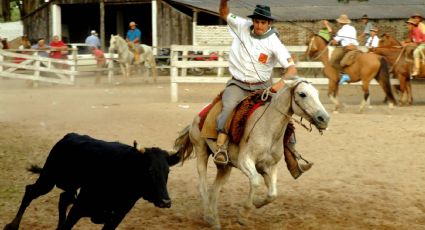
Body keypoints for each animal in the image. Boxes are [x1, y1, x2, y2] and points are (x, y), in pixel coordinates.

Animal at [172, 79, 328, 230]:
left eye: (317, 94)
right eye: (302, 94)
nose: (324, 118)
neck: (267, 128)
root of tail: (198, 117)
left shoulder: (270, 167)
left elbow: (272, 194)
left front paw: (257, 203)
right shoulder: (245, 161)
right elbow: (256, 182)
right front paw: (243, 214)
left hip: (225, 166)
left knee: (214, 189)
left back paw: (215, 220)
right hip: (201, 151)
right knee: (203, 187)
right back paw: (209, 217)